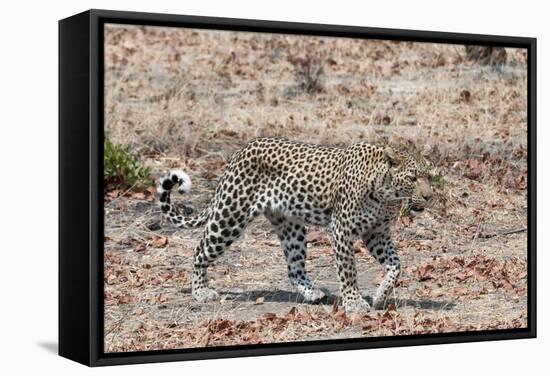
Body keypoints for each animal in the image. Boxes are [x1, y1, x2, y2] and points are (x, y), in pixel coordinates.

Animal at [156, 137, 436, 312]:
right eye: (412, 178)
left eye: (430, 177)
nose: (429, 196)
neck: (386, 194)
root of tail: (239, 153)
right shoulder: (342, 230)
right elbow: (349, 271)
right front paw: (354, 303)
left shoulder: (377, 233)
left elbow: (396, 265)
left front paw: (379, 297)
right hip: (230, 215)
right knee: (199, 251)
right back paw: (201, 292)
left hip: (291, 227)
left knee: (294, 267)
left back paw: (313, 293)